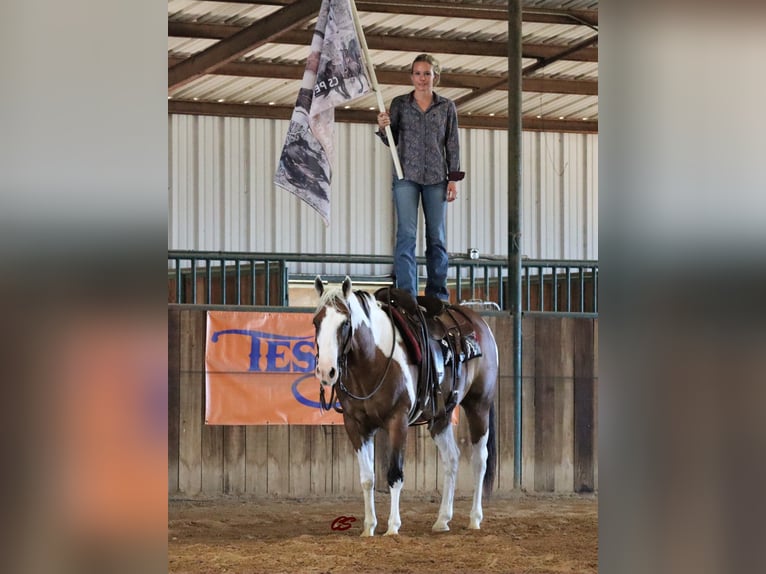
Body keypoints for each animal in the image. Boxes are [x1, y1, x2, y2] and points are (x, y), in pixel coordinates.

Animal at [316, 276, 500, 536]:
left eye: (344, 323)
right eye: (316, 322)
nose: (326, 371)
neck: (373, 360)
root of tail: (477, 321)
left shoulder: (398, 421)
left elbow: (394, 474)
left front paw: (393, 527)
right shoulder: (356, 425)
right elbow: (367, 477)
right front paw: (368, 528)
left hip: (479, 405)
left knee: (479, 459)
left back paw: (475, 519)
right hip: (441, 416)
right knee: (452, 459)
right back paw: (442, 519)